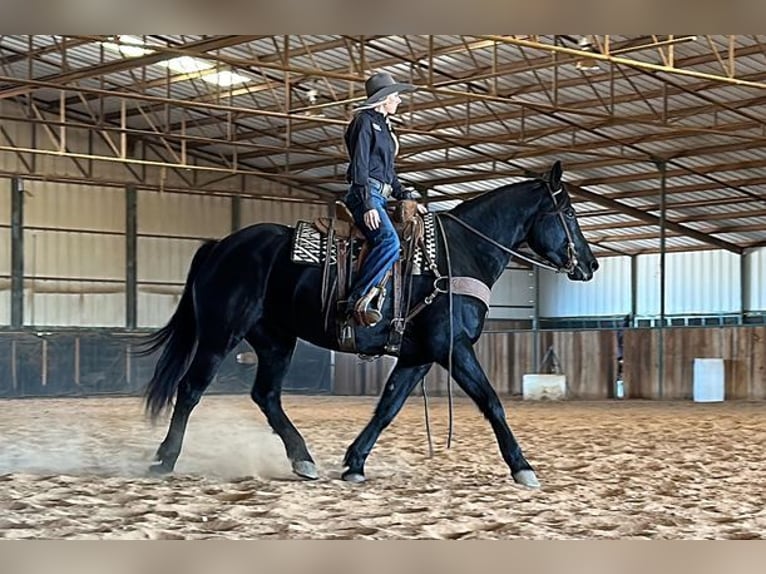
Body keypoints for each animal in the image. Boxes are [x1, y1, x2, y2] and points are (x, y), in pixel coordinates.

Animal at [138, 161, 600, 490]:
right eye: (569, 212)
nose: (591, 265)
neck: (462, 253)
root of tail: (222, 246)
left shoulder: (418, 356)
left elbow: (387, 407)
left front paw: (355, 463)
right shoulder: (453, 347)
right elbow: (492, 402)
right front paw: (523, 467)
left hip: (275, 340)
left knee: (265, 395)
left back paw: (303, 459)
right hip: (220, 335)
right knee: (190, 389)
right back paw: (164, 459)